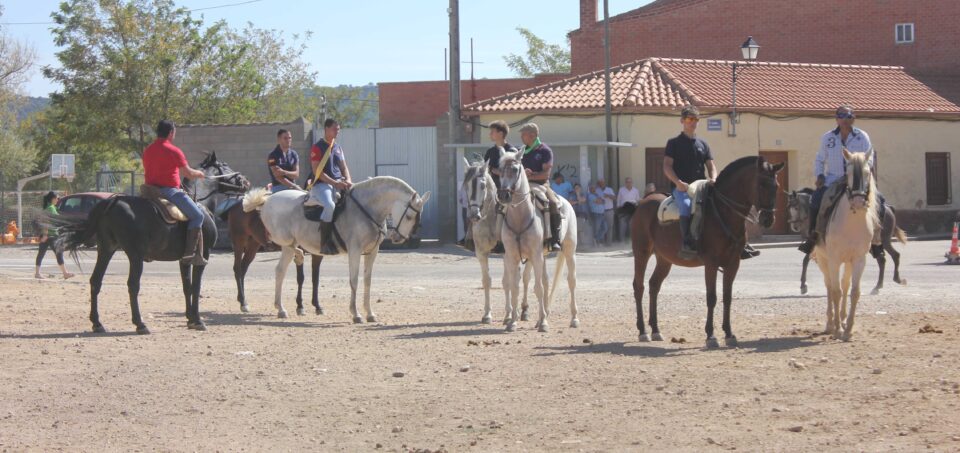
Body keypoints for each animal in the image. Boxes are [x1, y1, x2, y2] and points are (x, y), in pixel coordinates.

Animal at [58, 189, 219, 334]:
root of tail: (112, 202)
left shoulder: (184, 260)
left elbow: (187, 287)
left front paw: (190, 318)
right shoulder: (202, 256)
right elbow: (196, 287)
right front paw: (197, 320)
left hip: (106, 250)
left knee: (96, 281)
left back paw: (97, 323)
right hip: (135, 256)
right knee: (133, 285)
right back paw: (140, 324)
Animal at [244, 176, 432, 322]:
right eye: (409, 216)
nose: (398, 238)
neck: (367, 208)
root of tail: (268, 200)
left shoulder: (372, 252)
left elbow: (368, 281)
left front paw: (370, 313)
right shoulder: (355, 251)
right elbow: (354, 280)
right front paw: (356, 314)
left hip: (286, 247)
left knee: (280, 271)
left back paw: (281, 308)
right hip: (284, 241)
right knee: (286, 255)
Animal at [496, 150, 576, 330]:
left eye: (516, 169)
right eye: (500, 170)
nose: (503, 195)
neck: (520, 217)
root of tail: (567, 203)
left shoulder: (536, 255)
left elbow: (538, 287)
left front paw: (544, 323)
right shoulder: (511, 256)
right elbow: (515, 286)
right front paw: (512, 321)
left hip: (569, 251)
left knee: (571, 281)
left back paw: (574, 318)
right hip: (543, 256)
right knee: (546, 281)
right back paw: (542, 316)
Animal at [624, 154, 788, 346]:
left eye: (776, 186)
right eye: (761, 184)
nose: (768, 219)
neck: (723, 213)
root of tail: (641, 203)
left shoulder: (733, 263)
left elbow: (727, 297)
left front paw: (729, 333)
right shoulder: (711, 263)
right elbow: (712, 297)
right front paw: (711, 336)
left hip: (664, 259)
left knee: (654, 285)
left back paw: (656, 329)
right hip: (641, 252)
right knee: (639, 286)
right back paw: (643, 331)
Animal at [812, 148, 872, 340]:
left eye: (867, 172)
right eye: (849, 173)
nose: (858, 202)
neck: (851, 223)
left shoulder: (859, 260)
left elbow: (854, 292)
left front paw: (848, 329)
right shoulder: (834, 260)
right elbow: (835, 291)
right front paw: (838, 329)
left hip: (848, 262)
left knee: (844, 285)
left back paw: (843, 319)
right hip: (824, 260)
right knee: (829, 286)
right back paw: (830, 324)